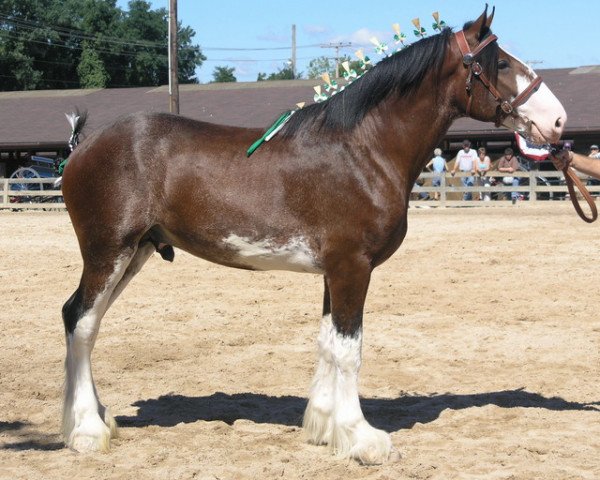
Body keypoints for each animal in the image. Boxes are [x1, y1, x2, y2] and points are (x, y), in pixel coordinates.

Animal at [61, 7, 568, 464]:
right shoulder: (352, 267)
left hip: (135, 252)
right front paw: (363, 439)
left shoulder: (335, 271)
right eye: (500, 63)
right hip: (109, 251)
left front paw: (325, 428)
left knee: (84, 318)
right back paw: (86, 431)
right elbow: (349, 350)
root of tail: (82, 145)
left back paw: (95, 418)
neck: (364, 149)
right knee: (81, 322)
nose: (559, 121)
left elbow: (328, 343)